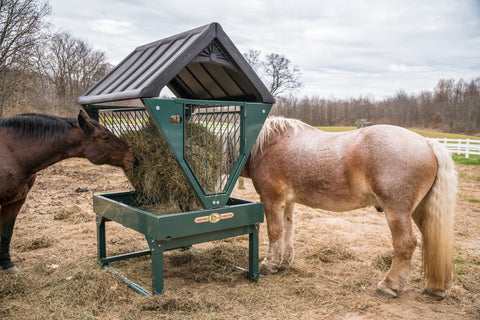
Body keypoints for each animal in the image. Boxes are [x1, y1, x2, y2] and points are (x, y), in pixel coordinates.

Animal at [0, 110, 135, 272]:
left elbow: (6, 232)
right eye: (105, 137)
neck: (13, 155)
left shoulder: (16, 201)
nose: (133, 157)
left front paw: (7, 264)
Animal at [244, 117, 458, 298]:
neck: (268, 144)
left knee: (406, 245)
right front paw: (284, 262)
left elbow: (274, 233)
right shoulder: (287, 203)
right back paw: (436, 288)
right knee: (432, 242)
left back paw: (389, 286)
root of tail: (427, 143)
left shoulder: (271, 200)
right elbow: (287, 232)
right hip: (422, 212)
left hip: (397, 212)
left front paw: (269, 265)